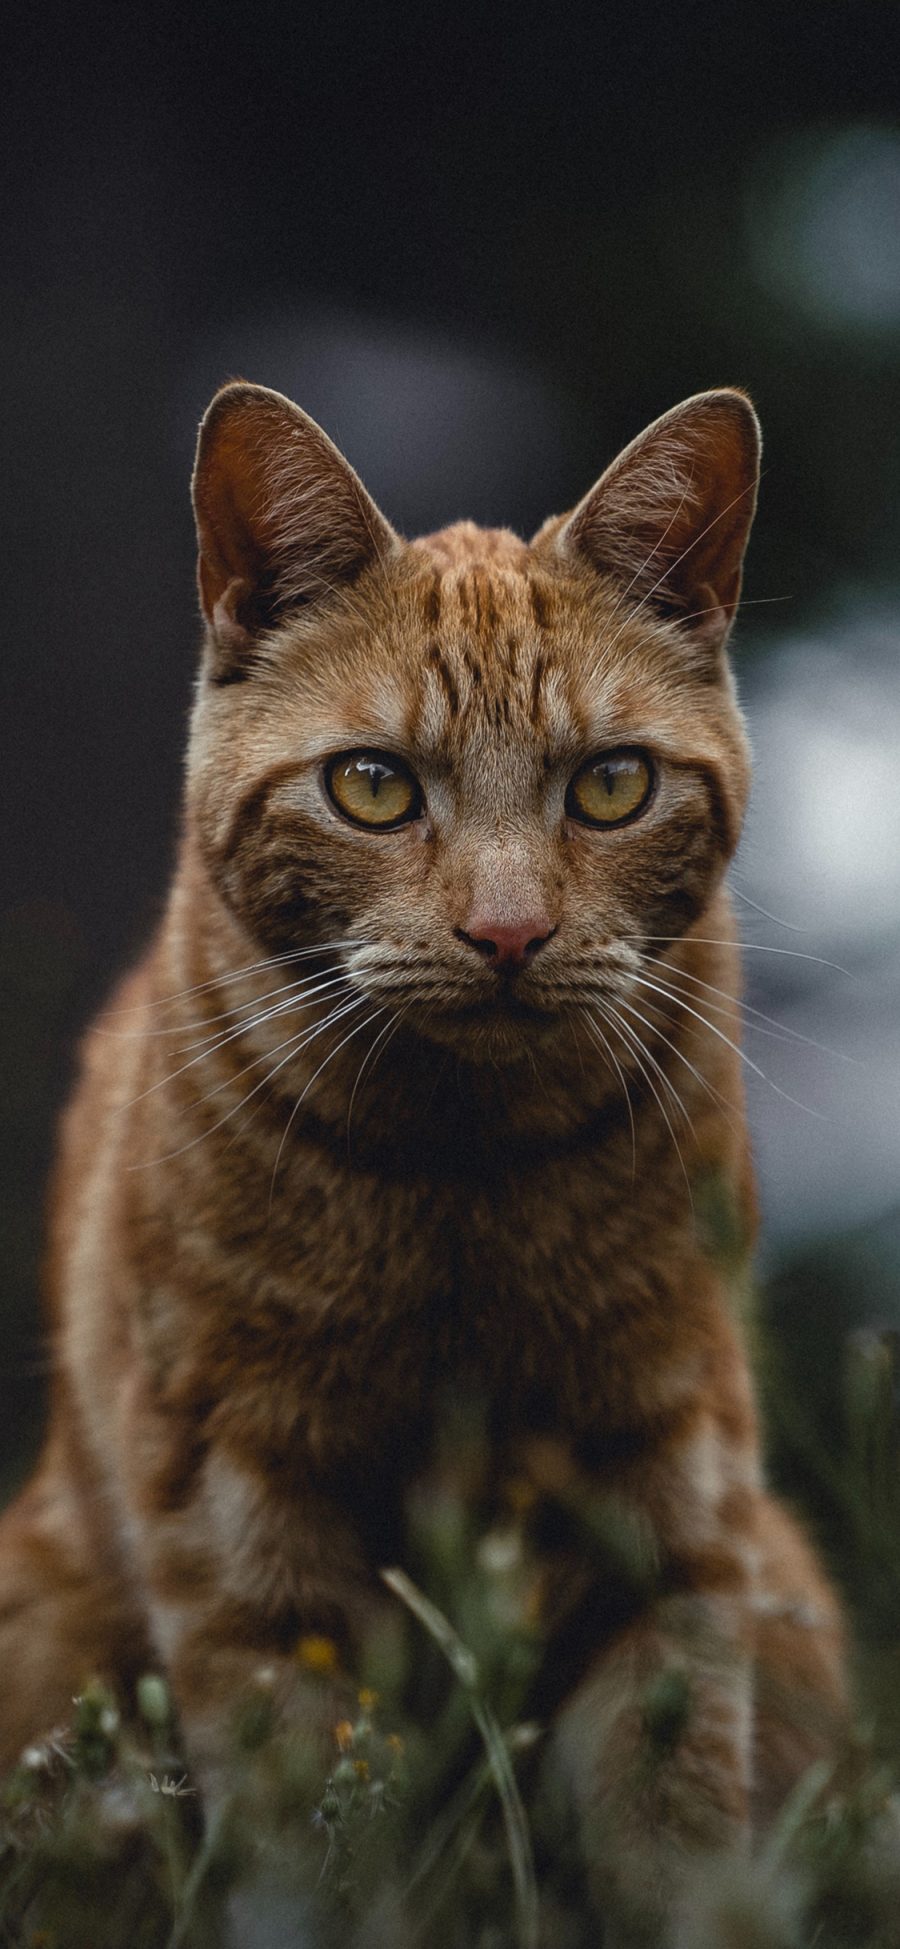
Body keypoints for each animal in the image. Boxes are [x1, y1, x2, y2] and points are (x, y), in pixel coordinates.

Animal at [0, 376, 845, 1933]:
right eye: (375, 789)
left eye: (613, 786)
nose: (507, 932)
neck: (466, 1182)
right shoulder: (241, 1519)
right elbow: (317, 1842)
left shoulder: (672, 1502)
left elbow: (673, 1822)